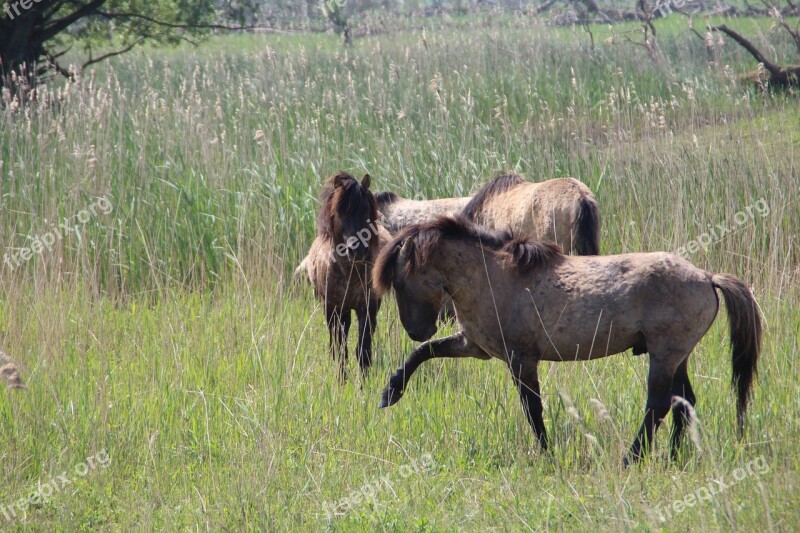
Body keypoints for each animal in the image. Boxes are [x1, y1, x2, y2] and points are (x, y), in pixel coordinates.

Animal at [304, 172, 392, 380]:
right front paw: (341, 382)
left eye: (366, 209)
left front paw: (363, 384)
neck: (348, 273)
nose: (357, 250)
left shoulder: (367, 307)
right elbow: (338, 350)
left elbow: (363, 350)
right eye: (340, 211)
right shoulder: (332, 308)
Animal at [376, 215, 764, 462]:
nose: (415, 329)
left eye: (400, 281)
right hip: (676, 356)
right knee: (684, 402)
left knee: (659, 404)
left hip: (664, 355)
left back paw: (632, 458)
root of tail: (707, 277)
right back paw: (670, 457)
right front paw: (391, 392)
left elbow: (532, 408)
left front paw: (547, 454)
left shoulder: (521, 358)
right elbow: (424, 352)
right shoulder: (475, 347)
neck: (492, 276)